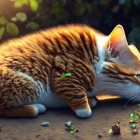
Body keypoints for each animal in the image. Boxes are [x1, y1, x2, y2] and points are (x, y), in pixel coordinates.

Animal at [0, 24, 140, 118]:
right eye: (138, 76)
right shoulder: (62, 72)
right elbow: (83, 109)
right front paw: (86, 104)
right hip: (30, 84)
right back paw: (35, 107)